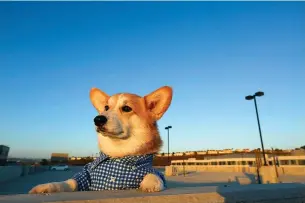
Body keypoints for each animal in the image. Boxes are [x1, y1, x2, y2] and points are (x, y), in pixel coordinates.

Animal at [29, 85, 172, 193]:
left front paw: (151, 183)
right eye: (106, 108)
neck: (118, 153)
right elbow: (70, 182)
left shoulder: (151, 170)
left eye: (126, 108)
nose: (97, 119)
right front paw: (46, 187)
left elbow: (155, 174)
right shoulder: (85, 177)